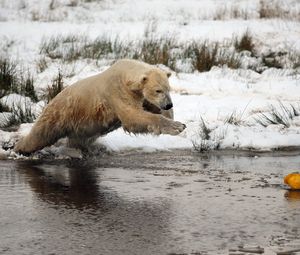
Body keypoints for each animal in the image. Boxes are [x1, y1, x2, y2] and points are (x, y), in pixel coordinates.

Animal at [15, 59, 186, 154]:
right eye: (158, 90)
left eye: (168, 88)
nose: (168, 104)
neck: (125, 75)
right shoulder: (116, 92)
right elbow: (132, 117)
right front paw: (178, 126)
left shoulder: (139, 95)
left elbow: (148, 108)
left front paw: (172, 117)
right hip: (60, 113)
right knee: (41, 134)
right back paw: (20, 148)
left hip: (79, 124)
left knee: (77, 139)